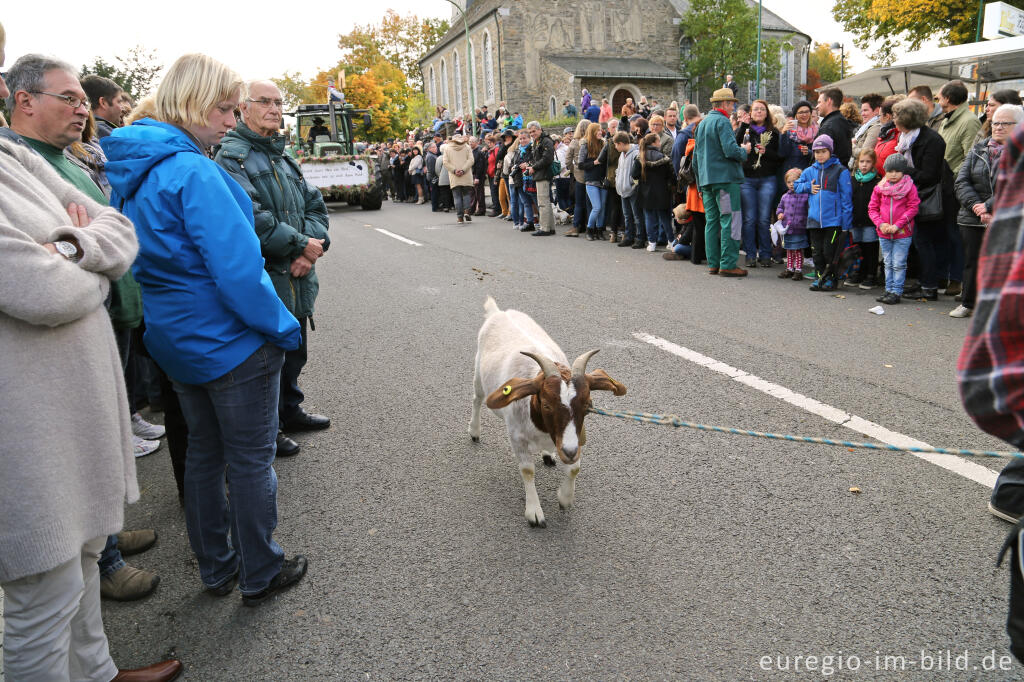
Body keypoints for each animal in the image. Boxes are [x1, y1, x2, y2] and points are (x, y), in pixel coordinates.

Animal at [468, 292, 626, 524]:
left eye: (587, 405)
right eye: (546, 404)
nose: (568, 451)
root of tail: (498, 313)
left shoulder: (571, 439)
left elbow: (575, 468)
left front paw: (565, 499)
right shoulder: (516, 436)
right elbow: (527, 470)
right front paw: (534, 512)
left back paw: (547, 454)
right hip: (479, 375)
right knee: (477, 400)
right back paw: (474, 431)